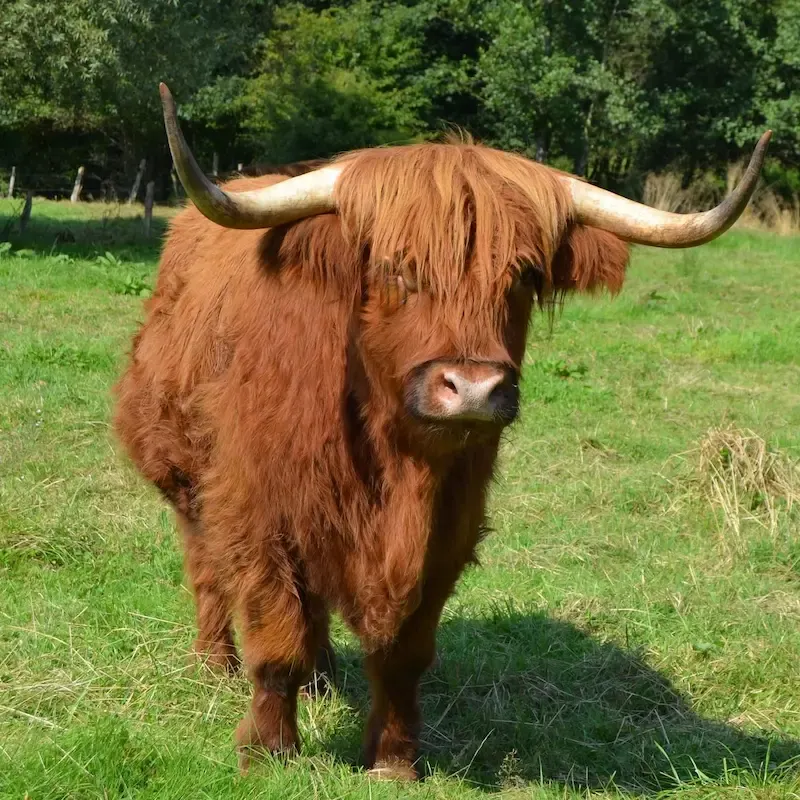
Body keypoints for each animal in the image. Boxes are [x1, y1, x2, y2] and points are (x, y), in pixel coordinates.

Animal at [114, 83, 769, 779]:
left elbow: (403, 656)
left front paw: (394, 760)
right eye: (398, 270)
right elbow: (276, 636)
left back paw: (322, 676)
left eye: (525, 277)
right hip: (188, 483)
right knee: (208, 571)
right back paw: (215, 664)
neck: (398, 466)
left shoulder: (449, 529)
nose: (474, 388)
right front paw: (268, 750)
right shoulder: (260, 514)